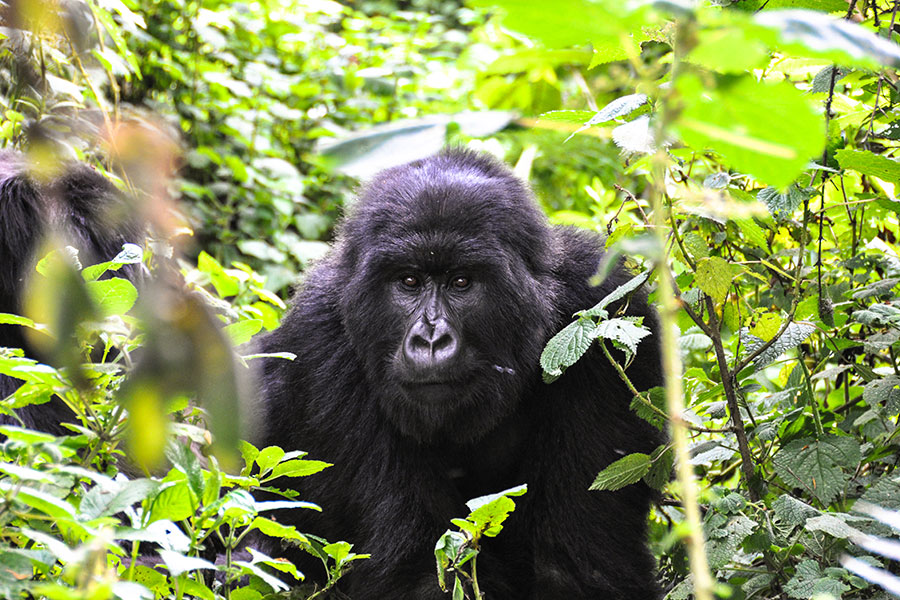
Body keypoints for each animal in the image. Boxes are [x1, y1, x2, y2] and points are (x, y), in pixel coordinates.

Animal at [256, 150, 664, 600]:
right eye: (409, 281)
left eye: (462, 282)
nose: (431, 340)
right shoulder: (319, 338)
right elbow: (420, 568)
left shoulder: (599, 309)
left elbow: (580, 563)